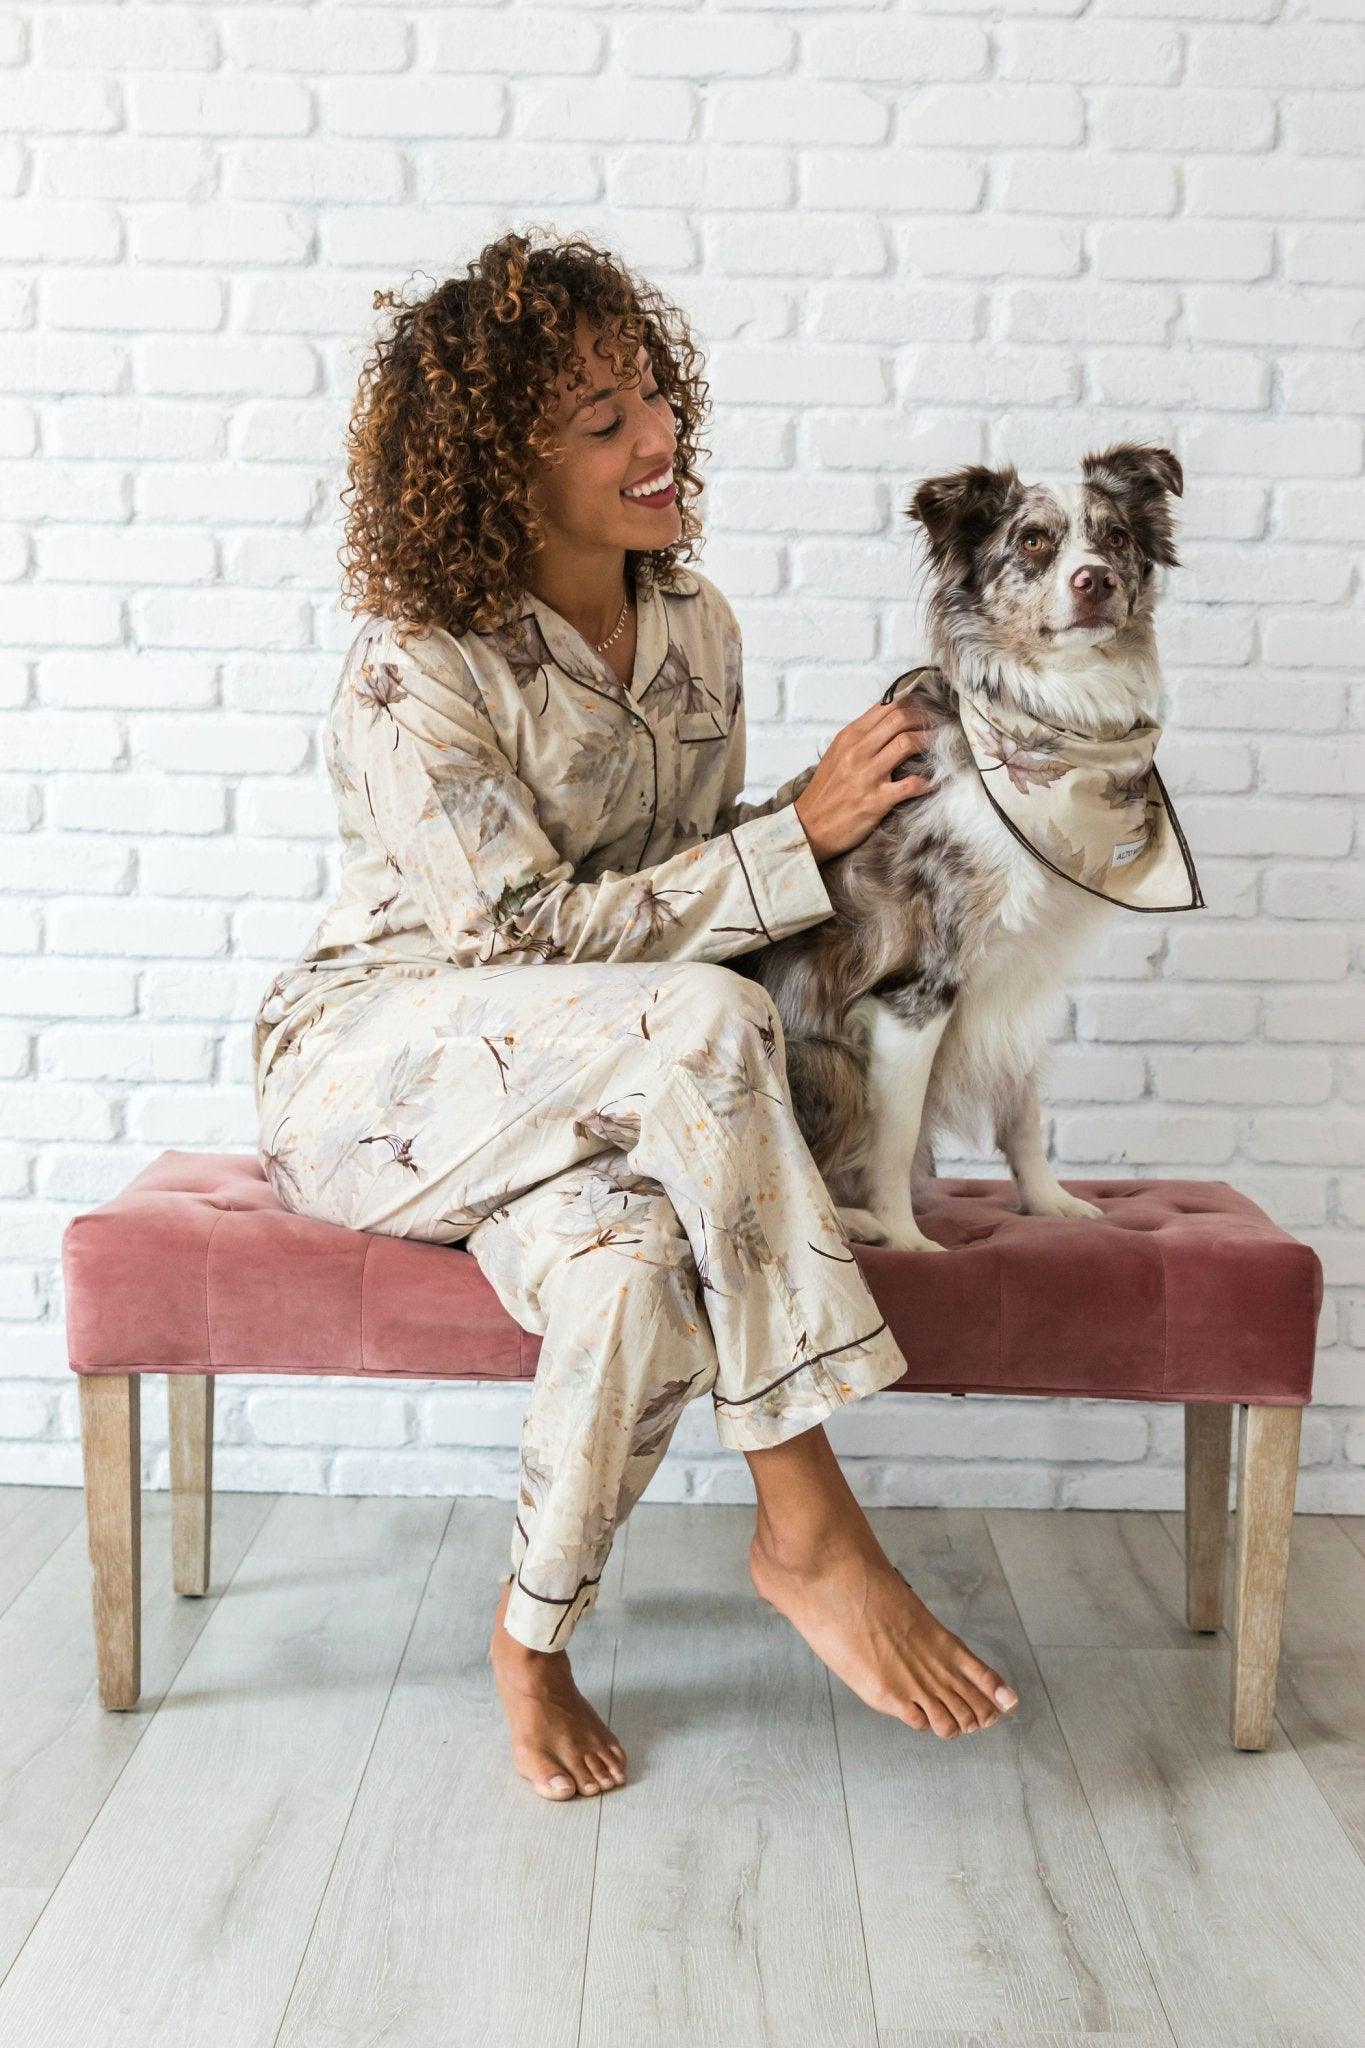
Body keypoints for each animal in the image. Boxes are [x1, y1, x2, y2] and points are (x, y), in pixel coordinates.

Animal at [736, 440, 1186, 1253]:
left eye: (1114, 537)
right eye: (1032, 542)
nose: (1095, 581)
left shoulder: (1020, 973)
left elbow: (1022, 1107)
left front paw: (1048, 1204)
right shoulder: (919, 984)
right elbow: (895, 1135)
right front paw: (906, 1234)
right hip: (830, 1058)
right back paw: (855, 1220)